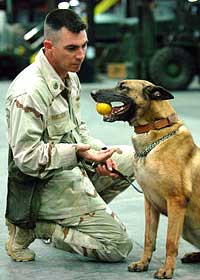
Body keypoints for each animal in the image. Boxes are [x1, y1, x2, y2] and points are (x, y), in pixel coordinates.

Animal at [91, 80, 200, 278]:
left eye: (123, 87)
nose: (93, 92)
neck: (155, 129)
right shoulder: (150, 203)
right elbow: (149, 238)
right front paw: (143, 263)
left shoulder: (176, 201)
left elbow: (170, 241)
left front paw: (167, 270)